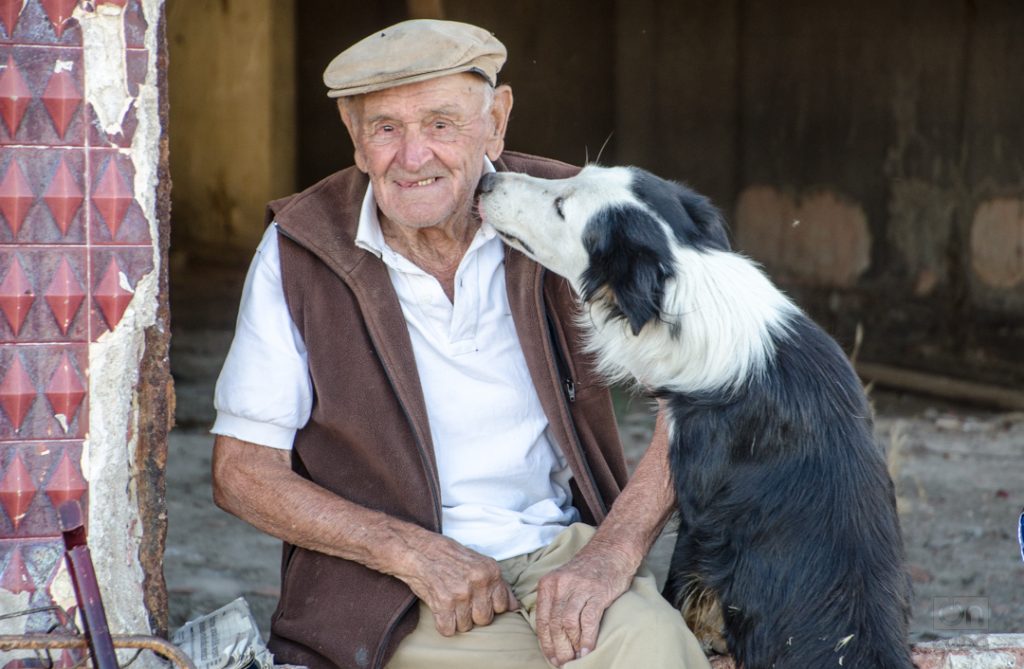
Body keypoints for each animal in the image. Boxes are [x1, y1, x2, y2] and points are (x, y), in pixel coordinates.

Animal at [473, 165, 913, 667]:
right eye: (579, 174)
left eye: (562, 206)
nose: (485, 183)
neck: (693, 290)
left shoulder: (702, 506)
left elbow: (684, 588)